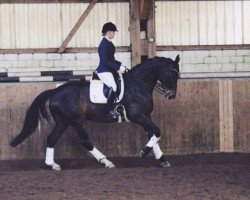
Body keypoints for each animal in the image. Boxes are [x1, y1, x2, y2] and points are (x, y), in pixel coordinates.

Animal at [10, 55, 181, 170]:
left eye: (178, 75)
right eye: (170, 74)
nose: (171, 96)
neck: (138, 84)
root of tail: (55, 92)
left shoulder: (146, 116)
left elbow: (153, 134)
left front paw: (162, 160)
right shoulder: (138, 116)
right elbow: (156, 132)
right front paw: (143, 153)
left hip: (63, 121)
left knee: (51, 138)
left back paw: (52, 165)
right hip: (75, 121)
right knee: (85, 141)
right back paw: (106, 162)